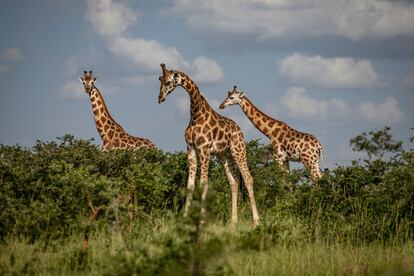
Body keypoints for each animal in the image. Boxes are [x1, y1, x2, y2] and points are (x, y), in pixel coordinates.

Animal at [158, 64, 258, 226]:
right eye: (160, 79)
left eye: (167, 82)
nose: (160, 98)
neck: (195, 114)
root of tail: (240, 130)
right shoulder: (191, 149)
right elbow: (190, 185)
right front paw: (185, 218)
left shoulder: (204, 149)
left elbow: (203, 184)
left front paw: (201, 220)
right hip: (225, 156)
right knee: (234, 182)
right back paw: (233, 222)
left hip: (239, 151)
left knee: (248, 178)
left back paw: (257, 221)